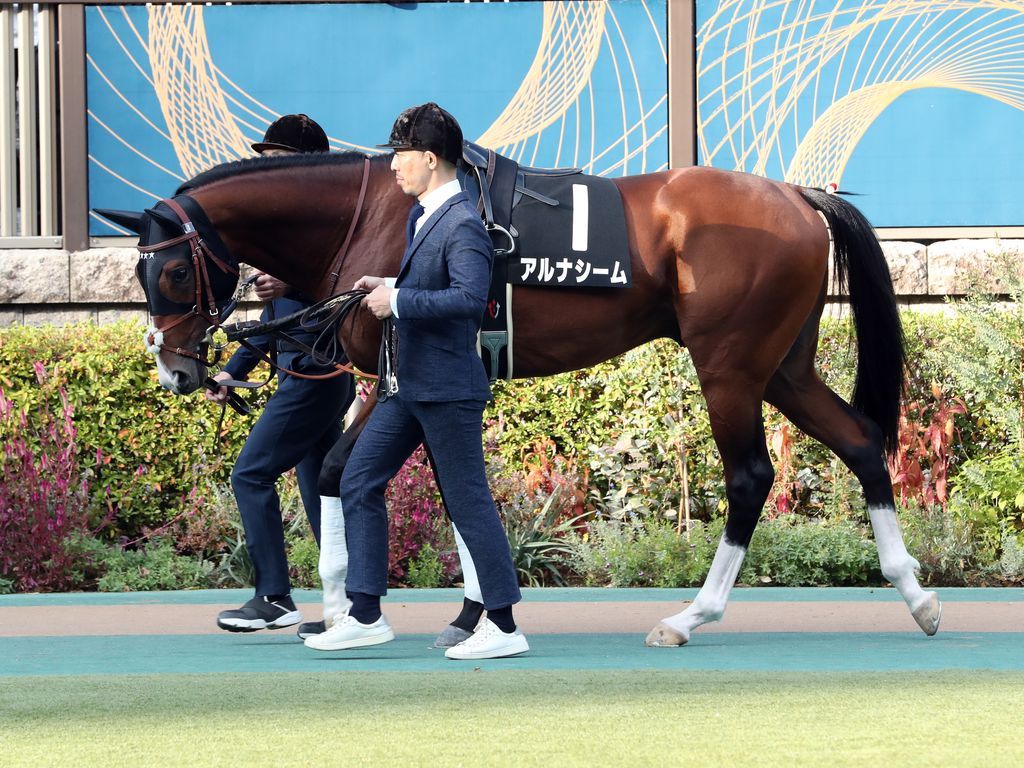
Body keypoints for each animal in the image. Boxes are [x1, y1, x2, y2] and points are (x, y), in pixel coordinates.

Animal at [100, 150, 942, 645]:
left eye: (170, 270)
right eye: (137, 270)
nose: (175, 371)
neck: (373, 211)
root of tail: (797, 195)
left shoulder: (406, 376)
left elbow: (391, 482)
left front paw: (374, 609)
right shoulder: (418, 387)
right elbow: (413, 485)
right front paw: (427, 610)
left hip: (730, 367)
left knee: (749, 477)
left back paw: (690, 616)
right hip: (783, 368)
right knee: (862, 442)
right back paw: (916, 596)